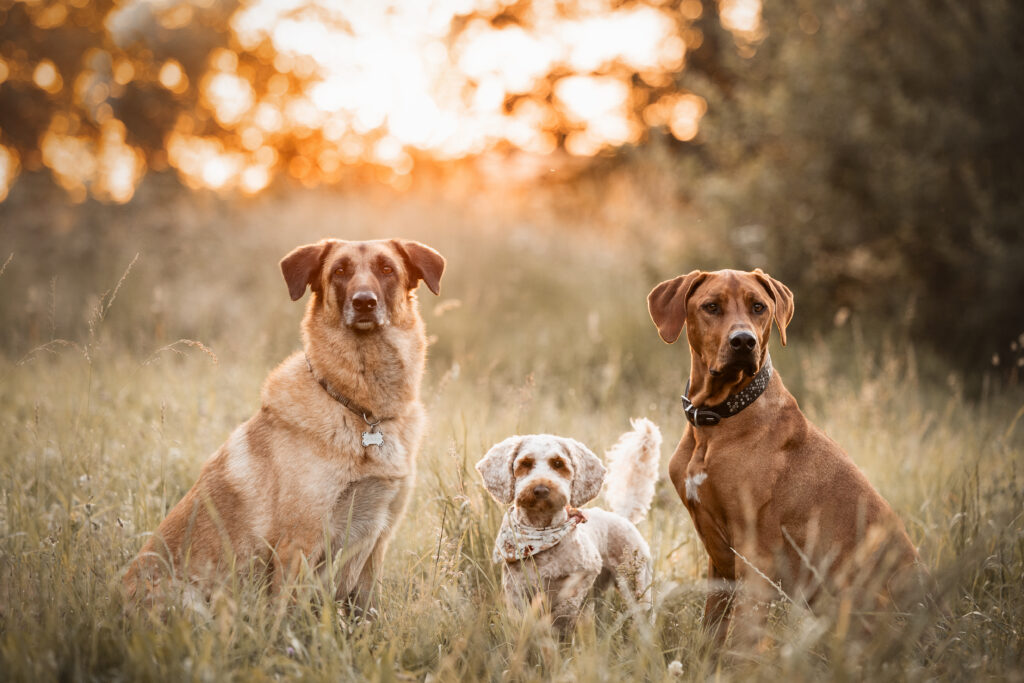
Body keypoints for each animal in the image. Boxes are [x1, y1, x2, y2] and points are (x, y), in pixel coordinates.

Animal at [475, 417, 659, 634]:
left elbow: (565, 610)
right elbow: (522, 621)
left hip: (636, 584)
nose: (541, 489)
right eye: (525, 463)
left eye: (558, 463)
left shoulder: (586, 573)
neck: (541, 530)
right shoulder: (516, 589)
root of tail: (622, 517)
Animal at [647, 266, 921, 643]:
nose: (743, 341)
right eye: (711, 306)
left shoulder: (756, 557)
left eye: (758, 307)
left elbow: (742, 641)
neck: (718, 419)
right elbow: (711, 636)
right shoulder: (720, 563)